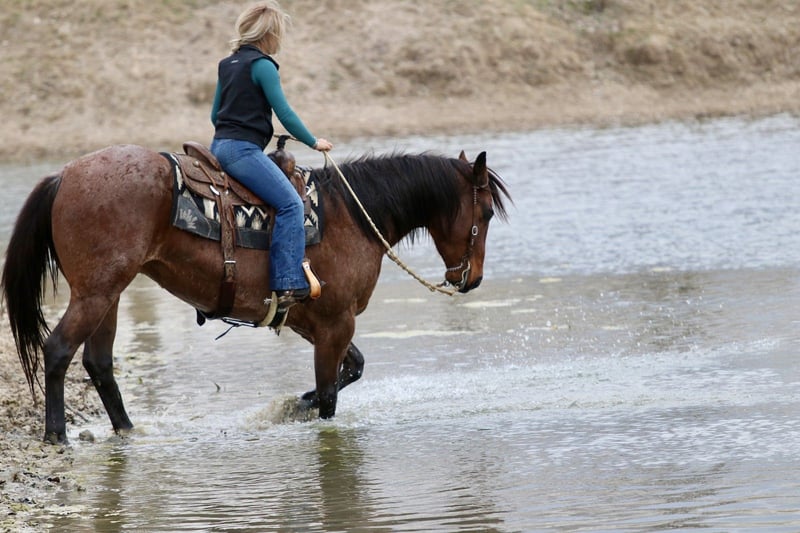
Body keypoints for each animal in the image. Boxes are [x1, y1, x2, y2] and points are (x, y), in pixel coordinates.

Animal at [1, 143, 510, 444]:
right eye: (485, 212)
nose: (472, 278)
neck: (351, 216)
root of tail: (65, 175)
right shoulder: (336, 323)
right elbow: (331, 396)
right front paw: (309, 409)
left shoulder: (311, 321)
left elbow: (355, 368)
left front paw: (294, 403)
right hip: (96, 291)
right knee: (59, 349)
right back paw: (57, 435)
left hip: (110, 293)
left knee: (98, 361)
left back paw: (127, 429)